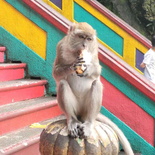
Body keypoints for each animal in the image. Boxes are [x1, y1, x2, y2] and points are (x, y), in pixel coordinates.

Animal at [52, 22, 134, 155]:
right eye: (81, 37)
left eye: (89, 39)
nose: (84, 45)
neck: (76, 53)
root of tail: (81, 115)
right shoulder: (61, 46)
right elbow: (56, 73)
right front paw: (72, 66)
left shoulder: (94, 49)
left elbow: (97, 70)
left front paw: (87, 68)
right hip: (76, 108)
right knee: (63, 84)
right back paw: (72, 120)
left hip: (86, 110)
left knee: (96, 84)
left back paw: (89, 123)